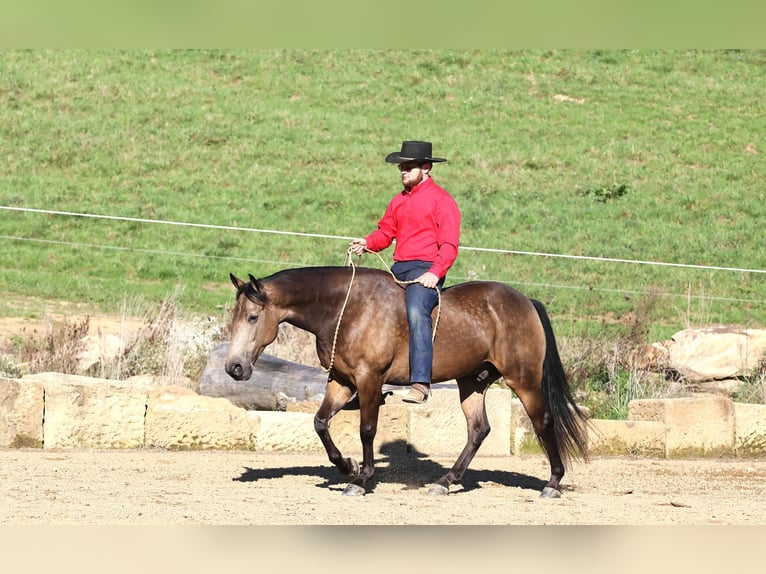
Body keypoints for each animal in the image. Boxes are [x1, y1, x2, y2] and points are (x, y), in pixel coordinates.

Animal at [225, 268, 592, 498]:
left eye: (253, 317)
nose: (234, 367)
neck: (347, 308)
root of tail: (526, 301)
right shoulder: (342, 382)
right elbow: (320, 423)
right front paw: (347, 466)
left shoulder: (369, 380)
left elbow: (367, 430)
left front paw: (361, 478)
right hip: (471, 382)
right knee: (478, 430)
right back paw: (446, 481)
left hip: (524, 380)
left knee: (543, 422)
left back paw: (552, 483)